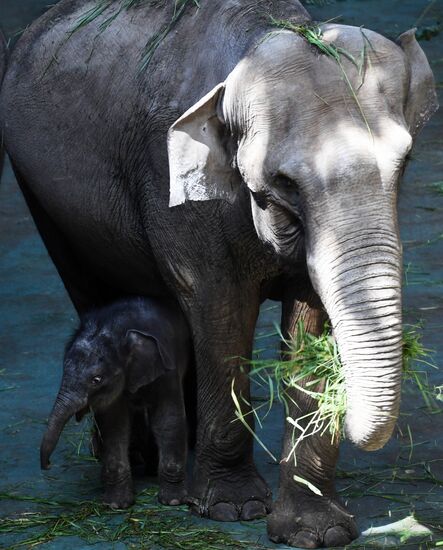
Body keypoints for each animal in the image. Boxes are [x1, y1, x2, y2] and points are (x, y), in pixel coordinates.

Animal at [41, 300, 193, 512]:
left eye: (96, 380)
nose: (47, 465)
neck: (118, 330)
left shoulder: (166, 367)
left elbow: (167, 420)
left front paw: (173, 501)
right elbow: (115, 426)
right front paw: (116, 505)